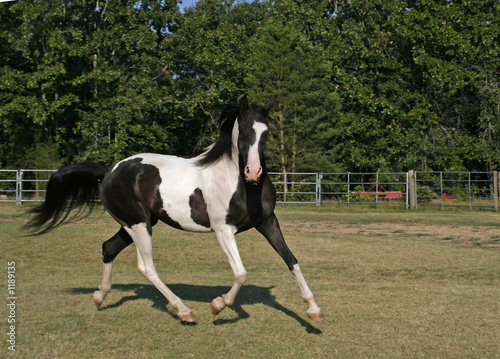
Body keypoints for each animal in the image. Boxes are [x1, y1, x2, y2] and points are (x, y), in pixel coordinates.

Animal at [25, 95, 324, 324]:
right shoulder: (223, 230)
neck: (240, 184)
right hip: (139, 225)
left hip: (134, 224)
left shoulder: (268, 222)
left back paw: (100, 296)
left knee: (108, 248)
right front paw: (218, 305)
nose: (253, 171)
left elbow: (292, 260)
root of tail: (109, 170)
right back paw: (184, 311)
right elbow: (241, 273)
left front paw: (314, 310)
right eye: (245, 129)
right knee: (146, 267)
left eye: (266, 132)